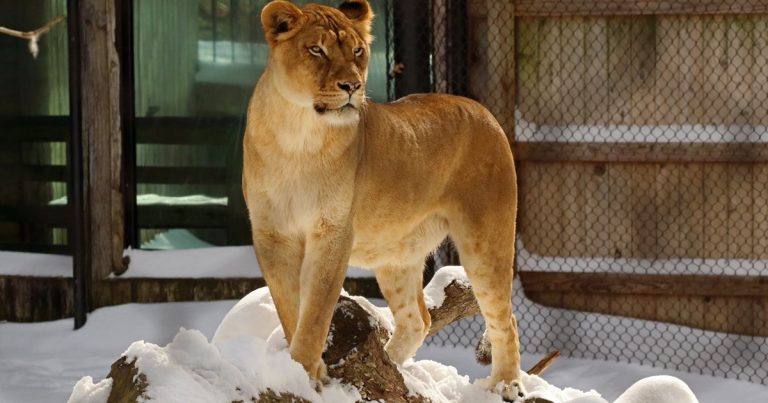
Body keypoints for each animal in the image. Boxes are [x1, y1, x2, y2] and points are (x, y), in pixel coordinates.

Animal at [242, 0, 524, 400]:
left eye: (358, 51)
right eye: (317, 50)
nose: (352, 86)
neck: (298, 135)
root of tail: (484, 110)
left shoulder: (333, 233)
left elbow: (316, 310)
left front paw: (306, 371)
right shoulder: (271, 233)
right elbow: (289, 306)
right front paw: (299, 369)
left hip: (486, 241)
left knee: (505, 318)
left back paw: (505, 384)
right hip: (396, 255)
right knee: (418, 319)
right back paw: (387, 367)